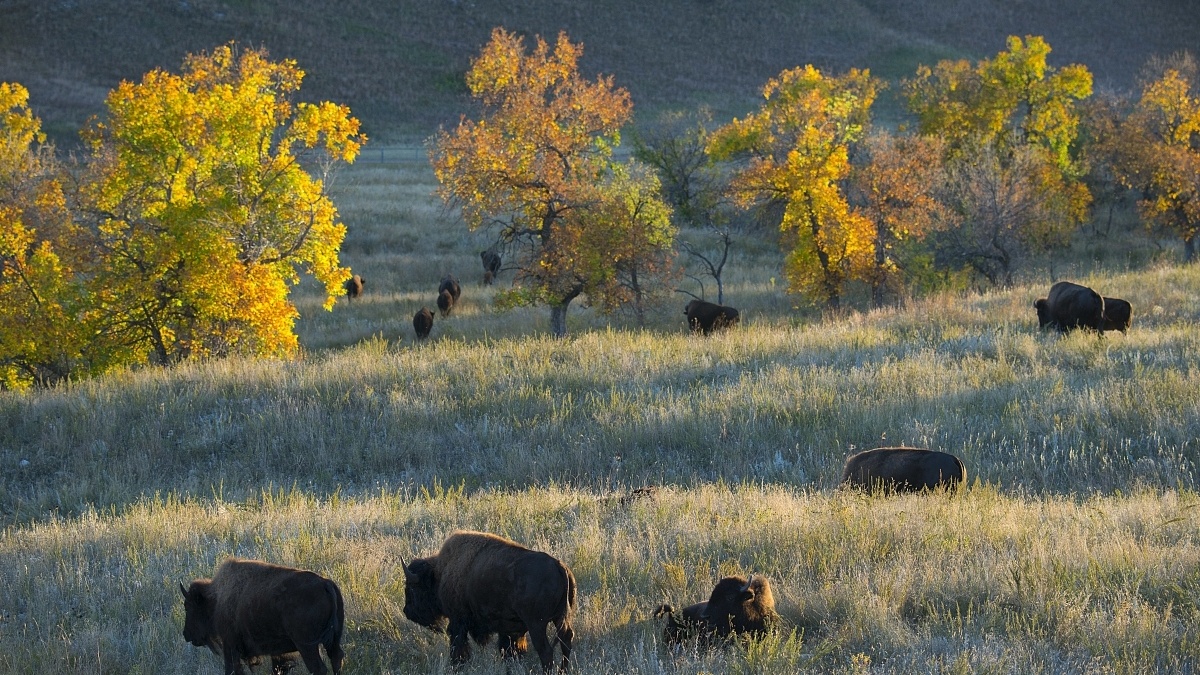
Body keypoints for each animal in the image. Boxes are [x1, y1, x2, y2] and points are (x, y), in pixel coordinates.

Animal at [180, 554, 345, 672]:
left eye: (188, 606)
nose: (186, 634)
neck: (216, 598)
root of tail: (326, 583)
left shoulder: (230, 645)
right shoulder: (277, 654)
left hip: (306, 646)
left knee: (319, 668)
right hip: (333, 641)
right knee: (336, 659)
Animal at [403, 530, 576, 667]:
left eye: (412, 588)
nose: (406, 611)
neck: (440, 573)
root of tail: (559, 566)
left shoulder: (458, 621)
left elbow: (458, 648)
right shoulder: (508, 629)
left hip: (537, 625)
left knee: (546, 651)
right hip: (560, 618)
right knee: (566, 641)